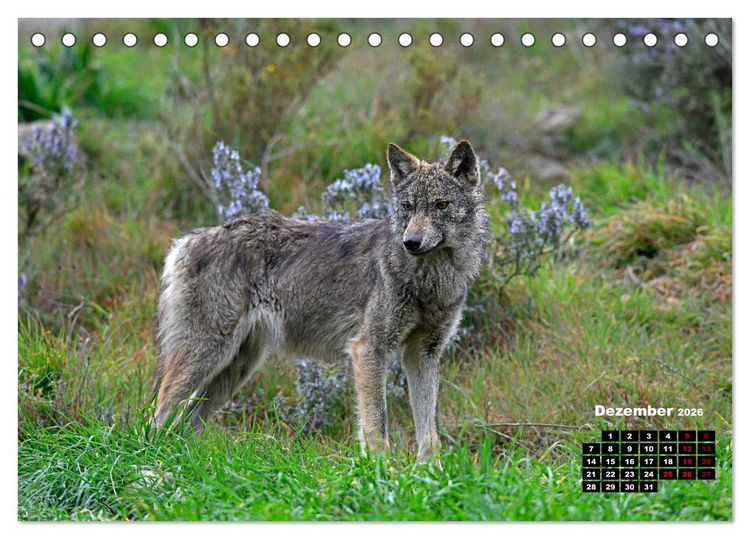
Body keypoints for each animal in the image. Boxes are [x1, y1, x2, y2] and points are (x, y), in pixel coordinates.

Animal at [152, 140, 490, 462]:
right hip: (208, 355)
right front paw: (381, 471)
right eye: (408, 206)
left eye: (441, 205)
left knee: (184, 423)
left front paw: (430, 473)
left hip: (236, 368)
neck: (429, 278)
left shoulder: (424, 353)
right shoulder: (369, 348)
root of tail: (187, 240)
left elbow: (429, 434)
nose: (411, 242)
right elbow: (376, 425)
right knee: (158, 412)